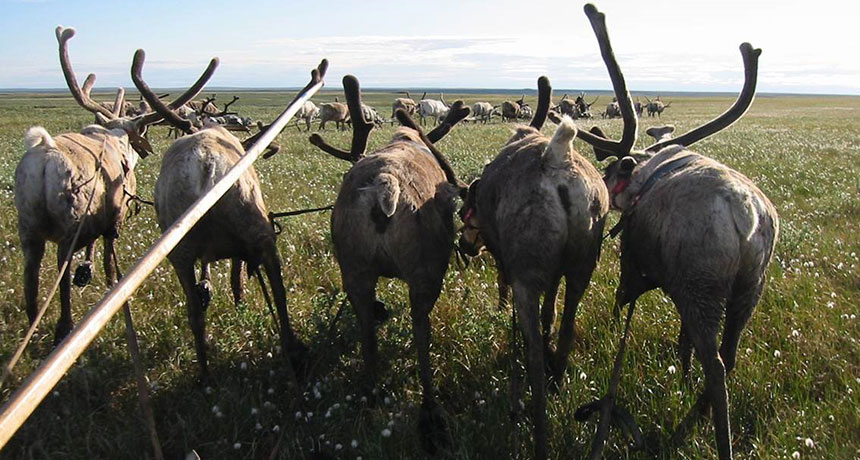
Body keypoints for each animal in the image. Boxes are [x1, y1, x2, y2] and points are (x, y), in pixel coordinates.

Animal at [13, 27, 215, 344]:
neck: (116, 136)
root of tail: (44, 154)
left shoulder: (96, 217)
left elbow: (92, 244)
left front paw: (87, 270)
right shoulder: (116, 215)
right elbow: (109, 256)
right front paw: (110, 284)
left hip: (28, 227)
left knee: (30, 277)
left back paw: (34, 324)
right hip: (68, 221)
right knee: (61, 270)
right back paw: (65, 325)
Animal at [132, 50, 326, 382]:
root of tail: (206, 163)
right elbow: (238, 278)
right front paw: (239, 304)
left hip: (179, 250)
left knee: (195, 312)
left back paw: (206, 376)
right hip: (258, 230)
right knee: (278, 290)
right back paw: (294, 354)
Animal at [308, 75, 470, 454]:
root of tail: (386, 185)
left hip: (354, 267)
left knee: (367, 328)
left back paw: (372, 393)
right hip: (426, 270)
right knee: (421, 328)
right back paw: (431, 415)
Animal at [458, 74, 609, 459]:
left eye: (468, 212)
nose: (463, 246)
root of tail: (557, 158)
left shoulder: (506, 261)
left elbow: (503, 286)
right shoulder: (555, 273)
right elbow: (550, 313)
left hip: (527, 273)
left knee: (535, 356)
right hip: (583, 265)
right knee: (567, 326)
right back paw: (558, 379)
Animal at [569, 5, 777, 460]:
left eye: (612, 169)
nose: (605, 190)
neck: (647, 169)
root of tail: (748, 218)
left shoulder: (634, 261)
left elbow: (621, 300)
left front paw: (612, 329)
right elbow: (681, 343)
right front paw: (680, 378)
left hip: (703, 285)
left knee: (716, 364)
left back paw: (705, 438)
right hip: (748, 289)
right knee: (729, 355)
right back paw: (692, 417)